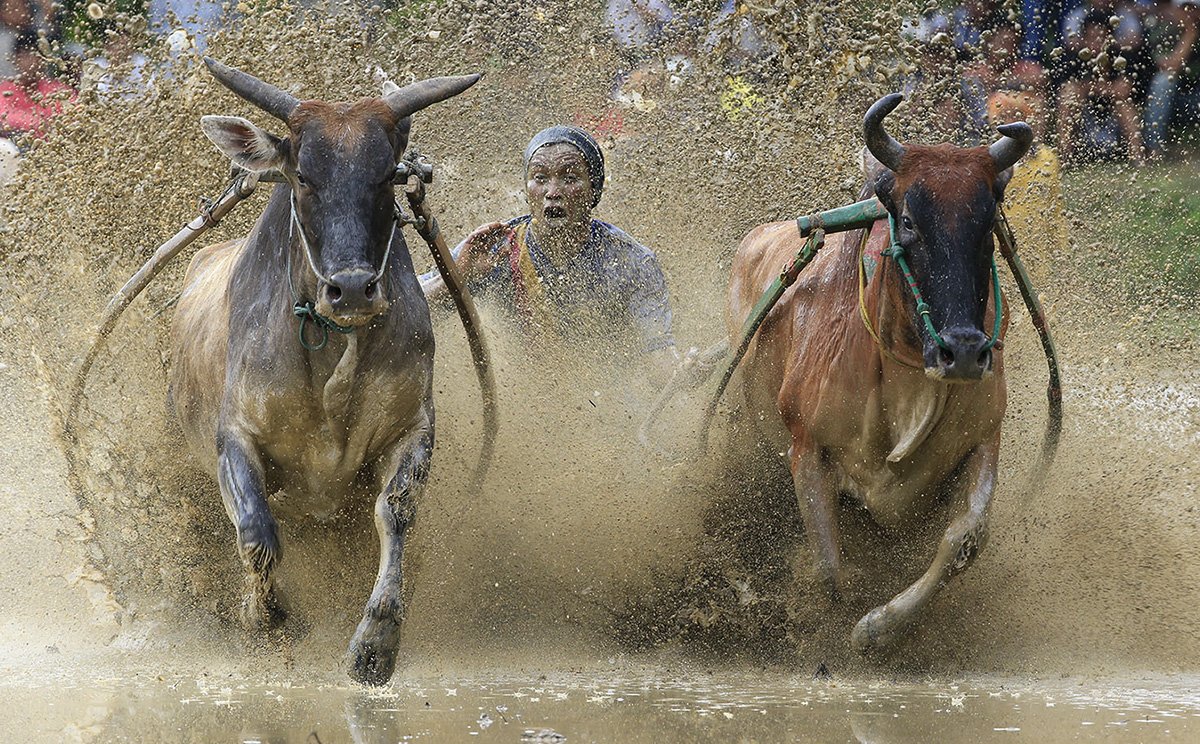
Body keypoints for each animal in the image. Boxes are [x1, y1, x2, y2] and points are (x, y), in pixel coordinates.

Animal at [169, 59, 477, 686]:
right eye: (304, 178)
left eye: (387, 176)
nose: (354, 288)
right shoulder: (234, 436)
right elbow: (258, 533)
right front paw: (266, 615)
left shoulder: (413, 426)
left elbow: (396, 513)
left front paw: (376, 643)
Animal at [720, 96, 1032, 652]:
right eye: (908, 220)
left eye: (987, 225)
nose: (964, 350)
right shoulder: (807, 449)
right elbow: (829, 567)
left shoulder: (984, 439)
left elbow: (965, 538)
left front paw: (876, 628)